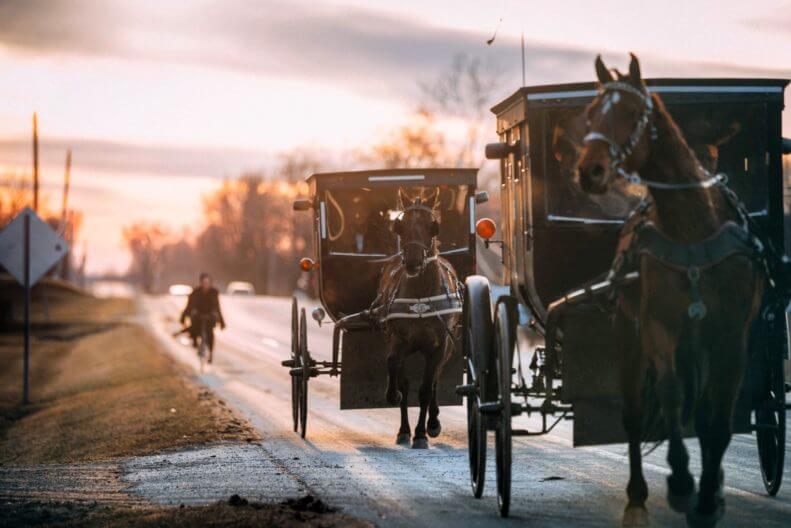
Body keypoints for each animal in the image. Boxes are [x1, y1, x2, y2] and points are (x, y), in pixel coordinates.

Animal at [378, 188, 460, 448]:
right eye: (400, 226)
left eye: (432, 226)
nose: (413, 261)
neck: (421, 296)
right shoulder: (399, 339)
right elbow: (394, 366)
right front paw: (394, 396)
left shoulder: (439, 345)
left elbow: (426, 388)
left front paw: (422, 432)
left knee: (434, 381)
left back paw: (432, 422)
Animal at [580, 55, 764, 524]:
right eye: (589, 114)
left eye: (631, 113)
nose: (589, 172)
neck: (692, 231)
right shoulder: (659, 327)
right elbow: (670, 395)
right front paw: (682, 483)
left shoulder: (731, 337)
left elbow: (717, 421)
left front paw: (709, 497)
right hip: (628, 335)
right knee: (635, 411)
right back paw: (638, 489)